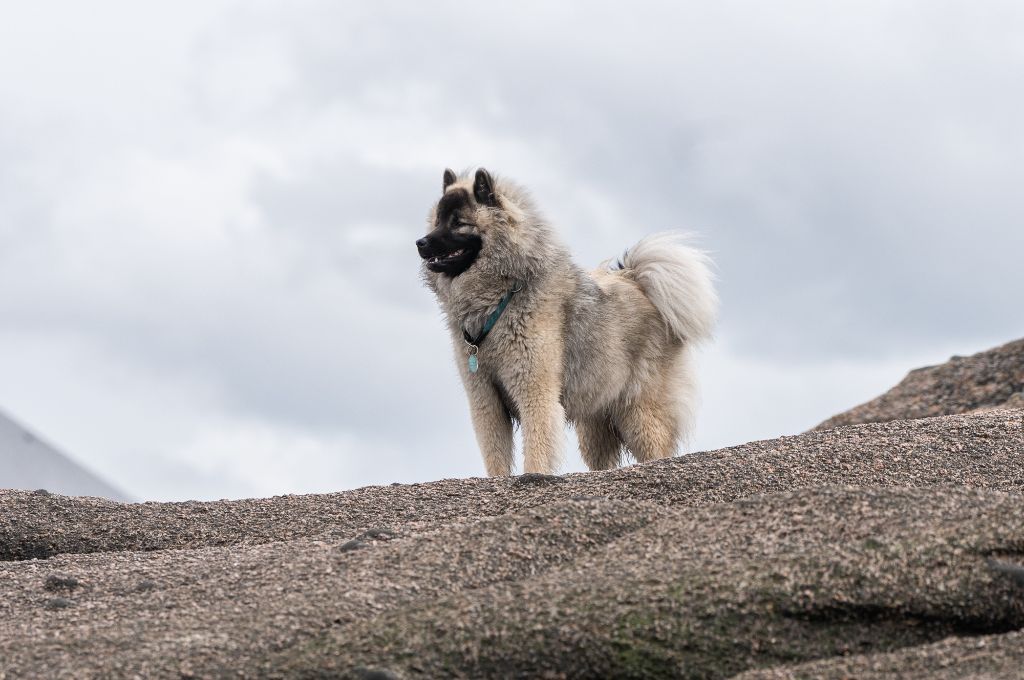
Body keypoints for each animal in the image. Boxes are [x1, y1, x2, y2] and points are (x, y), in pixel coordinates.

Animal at [413, 166, 712, 475]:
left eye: (458, 223)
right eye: (437, 221)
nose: (420, 242)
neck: (499, 298)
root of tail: (638, 282)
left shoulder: (535, 390)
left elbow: (537, 445)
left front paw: (533, 476)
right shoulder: (485, 400)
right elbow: (495, 454)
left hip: (640, 412)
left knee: (657, 448)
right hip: (595, 422)